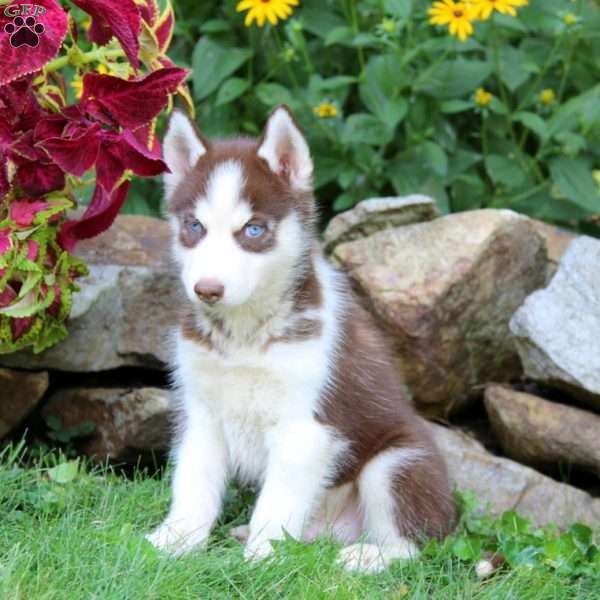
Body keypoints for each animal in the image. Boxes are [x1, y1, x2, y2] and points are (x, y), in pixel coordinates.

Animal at [145, 106, 454, 572]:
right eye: (193, 226)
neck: (244, 335)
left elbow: (277, 503)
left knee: (414, 547)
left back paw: (363, 558)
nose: (207, 290)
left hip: (397, 461)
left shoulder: (305, 429)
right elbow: (193, 484)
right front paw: (174, 542)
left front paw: (260, 559)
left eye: (253, 230)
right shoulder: (201, 412)